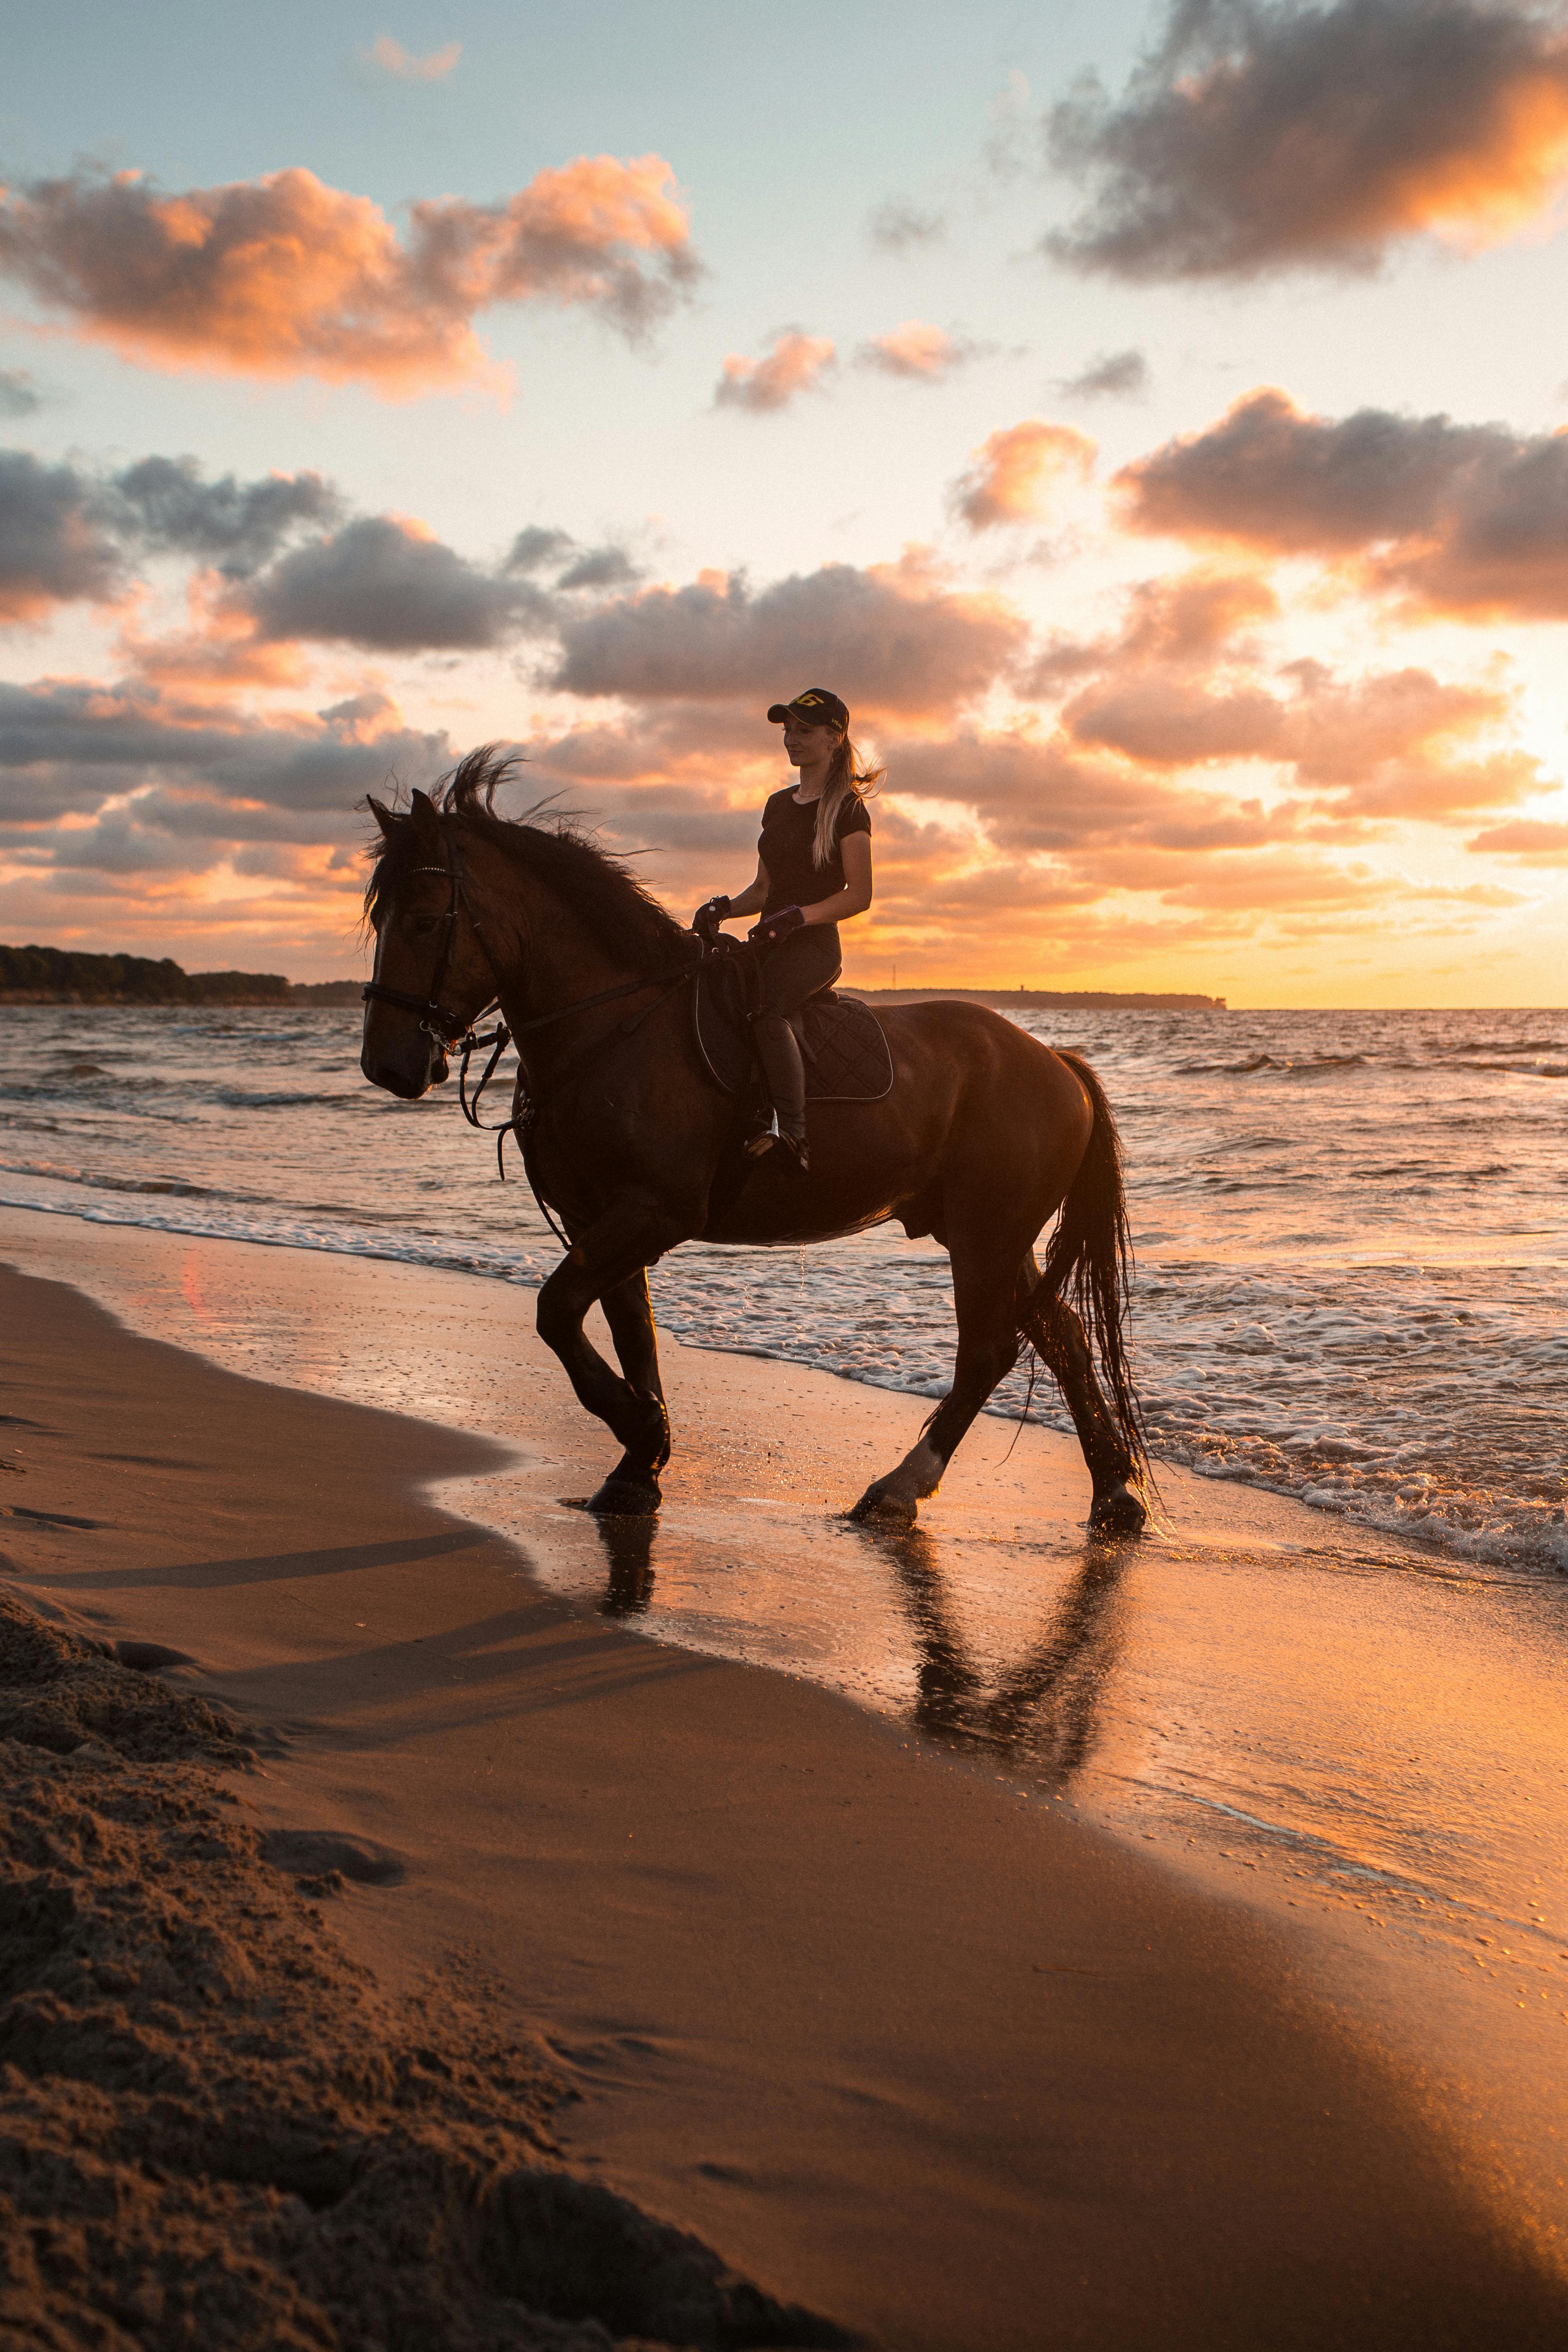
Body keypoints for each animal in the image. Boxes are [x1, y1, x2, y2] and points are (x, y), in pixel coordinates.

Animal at [364, 743, 1152, 1533]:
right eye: (379, 919)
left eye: (426, 922)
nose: (388, 1065)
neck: (613, 1027)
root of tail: (1056, 1063)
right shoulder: (599, 1218)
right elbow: (631, 1334)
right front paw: (638, 1466)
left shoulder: (652, 1211)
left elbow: (556, 1312)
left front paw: (640, 1429)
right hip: (987, 1234)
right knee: (1064, 1338)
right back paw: (1114, 1493)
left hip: (986, 1234)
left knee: (990, 1350)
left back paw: (900, 1486)